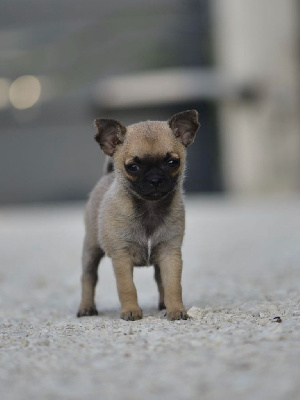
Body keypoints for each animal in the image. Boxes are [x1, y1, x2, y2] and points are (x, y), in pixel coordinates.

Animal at [77, 109, 199, 322]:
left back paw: (163, 305)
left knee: (159, 279)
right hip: (91, 248)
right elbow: (127, 287)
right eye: (132, 167)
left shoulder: (170, 255)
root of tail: (107, 176)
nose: (155, 179)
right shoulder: (122, 257)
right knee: (88, 277)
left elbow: (172, 285)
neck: (150, 207)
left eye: (172, 162)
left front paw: (176, 309)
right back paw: (86, 308)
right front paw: (131, 311)